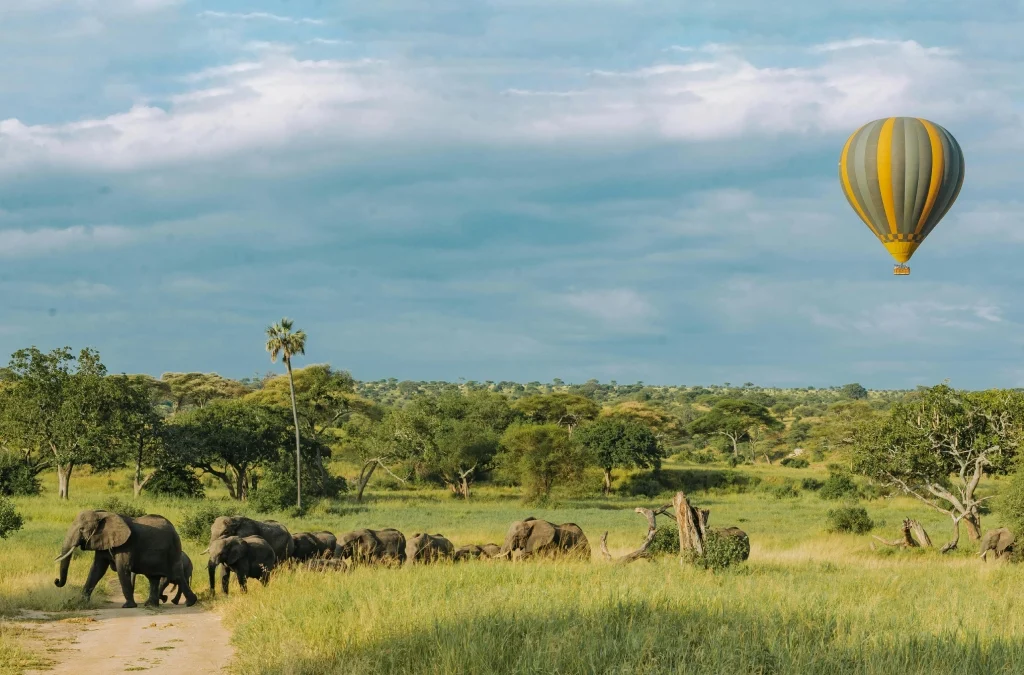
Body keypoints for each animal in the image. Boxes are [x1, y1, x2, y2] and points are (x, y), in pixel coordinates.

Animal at [53, 509, 197, 608]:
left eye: (82, 529)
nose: (56, 581)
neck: (103, 514)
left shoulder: (127, 545)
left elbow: (123, 568)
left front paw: (128, 606)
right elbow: (96, 569)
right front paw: (81, 602)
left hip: (173, 550)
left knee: (177, 576)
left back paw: (190, 603)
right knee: (153, 578)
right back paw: (151, 605)